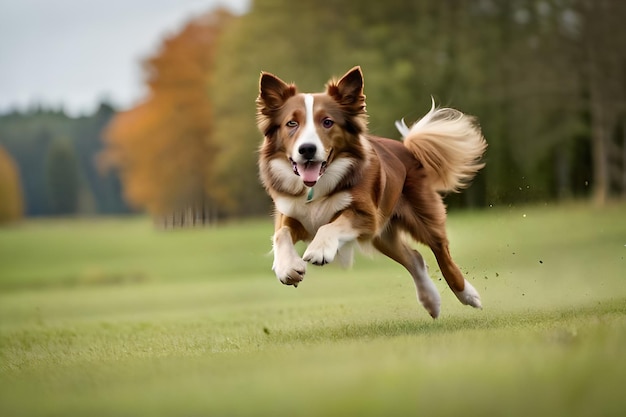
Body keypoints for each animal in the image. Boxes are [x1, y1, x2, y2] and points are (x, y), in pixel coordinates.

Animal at [256, 66, 486, 316]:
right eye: (291, 123)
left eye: (327, 122)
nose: (307, 149)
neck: (317, 185)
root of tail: (407, 149)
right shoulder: (292, 213)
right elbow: (281, 234)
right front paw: (288, 268)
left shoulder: (366, 215)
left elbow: (329, 226)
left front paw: (319, 250)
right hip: (383, 235)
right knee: (414, 257)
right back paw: (431, 301)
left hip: (421, 218)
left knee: (442, 253)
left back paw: (468, 294)